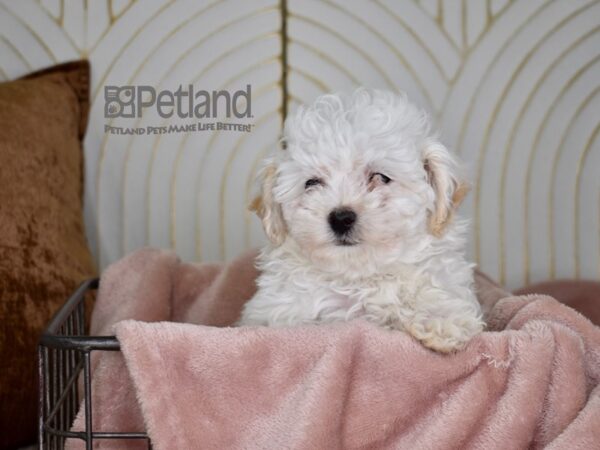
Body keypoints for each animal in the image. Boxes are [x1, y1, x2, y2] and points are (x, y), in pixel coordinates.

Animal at [238, 89, 482, 354]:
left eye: (380, 177)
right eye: (311, 183)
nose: (341, 218)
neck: (359, 277)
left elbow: (435, 289)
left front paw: (442, 321)